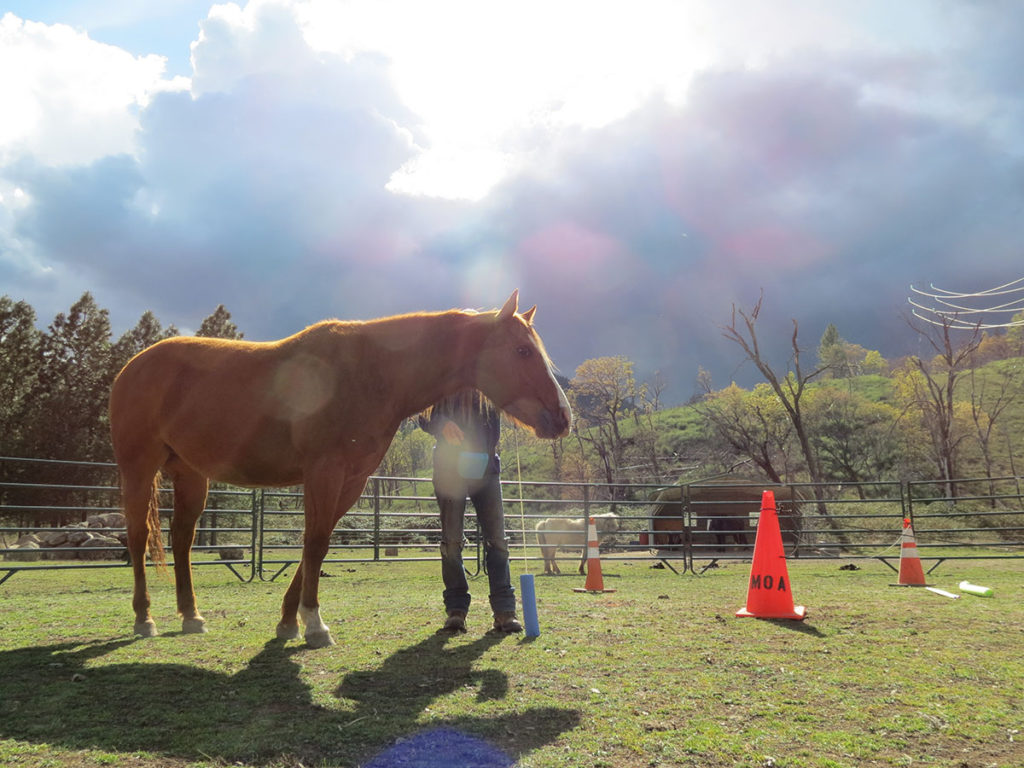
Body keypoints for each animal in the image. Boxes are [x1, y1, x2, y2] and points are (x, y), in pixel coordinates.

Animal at [113, 292, 577, 651]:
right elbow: (315, 544)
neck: (369, 372)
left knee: (181, 541)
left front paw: (289, 622)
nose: (562, 418)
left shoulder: (352, 480)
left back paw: (191, 616)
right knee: (138, 538)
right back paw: (144, 619)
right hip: (138, 469)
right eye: (522, 351)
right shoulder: (325, 472)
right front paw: (314, 625)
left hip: (192, 475)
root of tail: (132, 366)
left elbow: (315, 546)